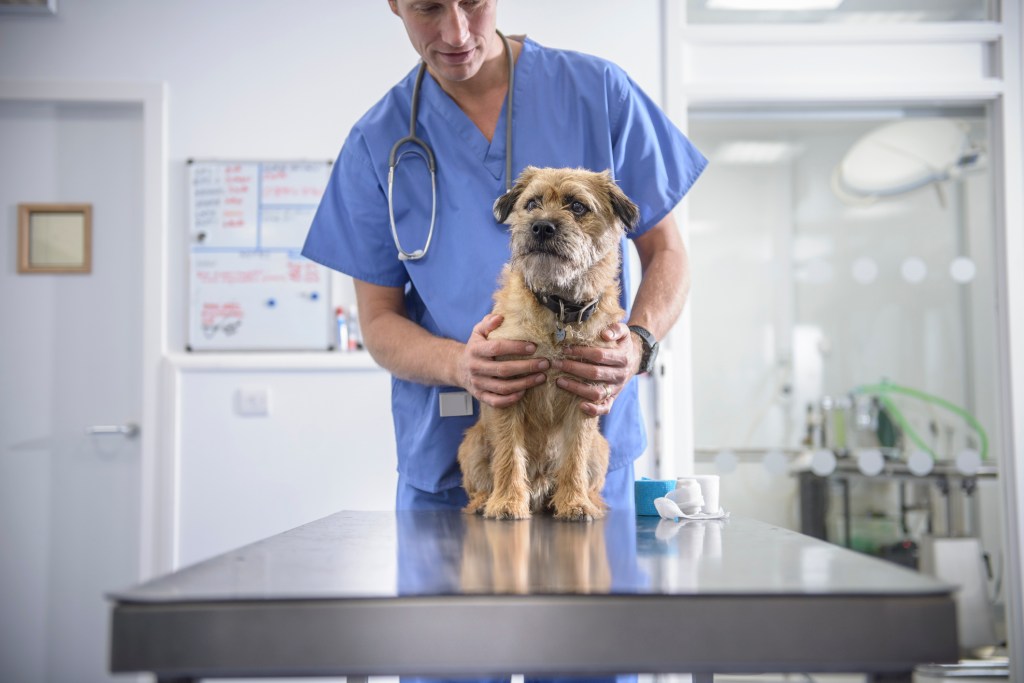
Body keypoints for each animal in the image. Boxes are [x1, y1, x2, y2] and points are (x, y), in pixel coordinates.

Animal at [458, 167, 634, 520]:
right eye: (532, 204)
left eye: (577, 206)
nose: (541, 226)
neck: (559, 309)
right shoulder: (507, 391)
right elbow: (508, 455)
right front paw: (507, 502)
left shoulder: (585, 396)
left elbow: (574, 457)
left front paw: (575, 502)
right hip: (472, 444)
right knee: (479, 482)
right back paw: (485, 501)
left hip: (601, 449)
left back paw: (588, 500)